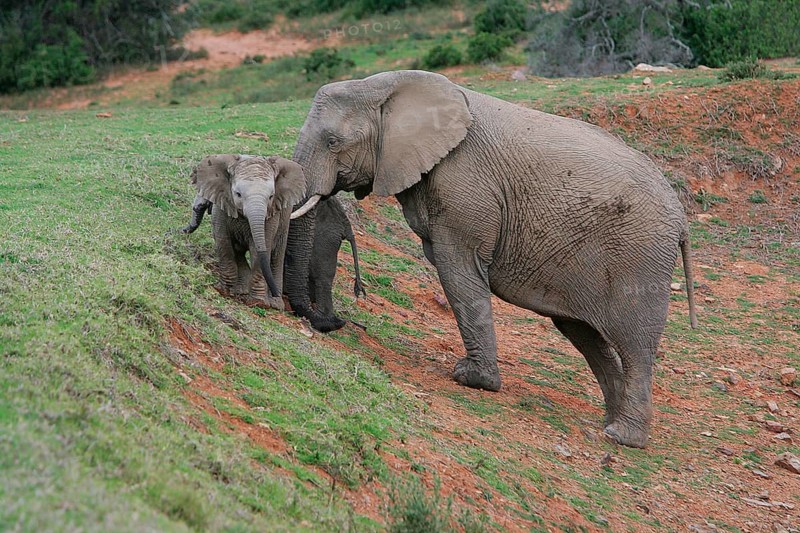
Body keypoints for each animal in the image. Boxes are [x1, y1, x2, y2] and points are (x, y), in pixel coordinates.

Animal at [185, 154, 305, 310]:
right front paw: (223, 291)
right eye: (238, 194)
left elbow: (259, 250)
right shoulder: (222, 205)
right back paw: (243, 291)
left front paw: (258, 303)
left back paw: (275, 304)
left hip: (284, 222)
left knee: (276, 256)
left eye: (271, 196)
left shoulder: (271, 215)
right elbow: (223, 243)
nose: (183, 231)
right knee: (238, 251)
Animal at [284, 70, 698, 448]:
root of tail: (681, 219)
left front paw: (471, 379)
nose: (332, 323)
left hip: (640, 257)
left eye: (333, 141)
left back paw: (623, 437)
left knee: (635, 346)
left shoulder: (464, 186)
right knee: (584, 333)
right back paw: (610, 422)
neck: (389, 87)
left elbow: (459, 271)